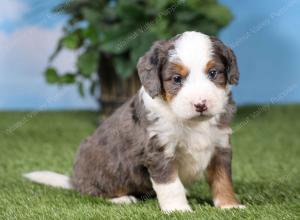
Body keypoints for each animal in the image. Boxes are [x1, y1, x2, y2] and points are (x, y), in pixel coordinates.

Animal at [24, 30, 244, 211]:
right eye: (176, 79)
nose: (201, 104)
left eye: (213, 73)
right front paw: (178, 210)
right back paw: (122, 199)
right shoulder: (159, 149)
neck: (192, 123)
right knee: (95, 193)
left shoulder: (220, 145)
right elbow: (170, 184)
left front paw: (229, 205)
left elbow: (223, 178)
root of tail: (75, 180)